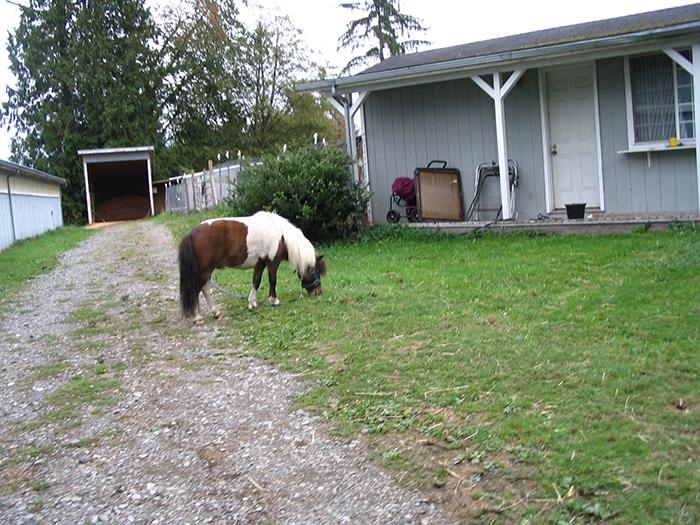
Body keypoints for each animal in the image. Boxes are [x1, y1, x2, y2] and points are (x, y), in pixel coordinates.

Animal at [178, 211, 326, 322]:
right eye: (315, 272)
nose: (318, 292)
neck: (281, 235)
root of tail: (192, 233)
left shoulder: (260, 263)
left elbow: (256, 281)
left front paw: (252, 303)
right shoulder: (273, 262)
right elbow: (272, 280)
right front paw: (274, 300)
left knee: (205, 288)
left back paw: (216, 312)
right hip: (205, 270)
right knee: (198, 289)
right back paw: (198, 316)